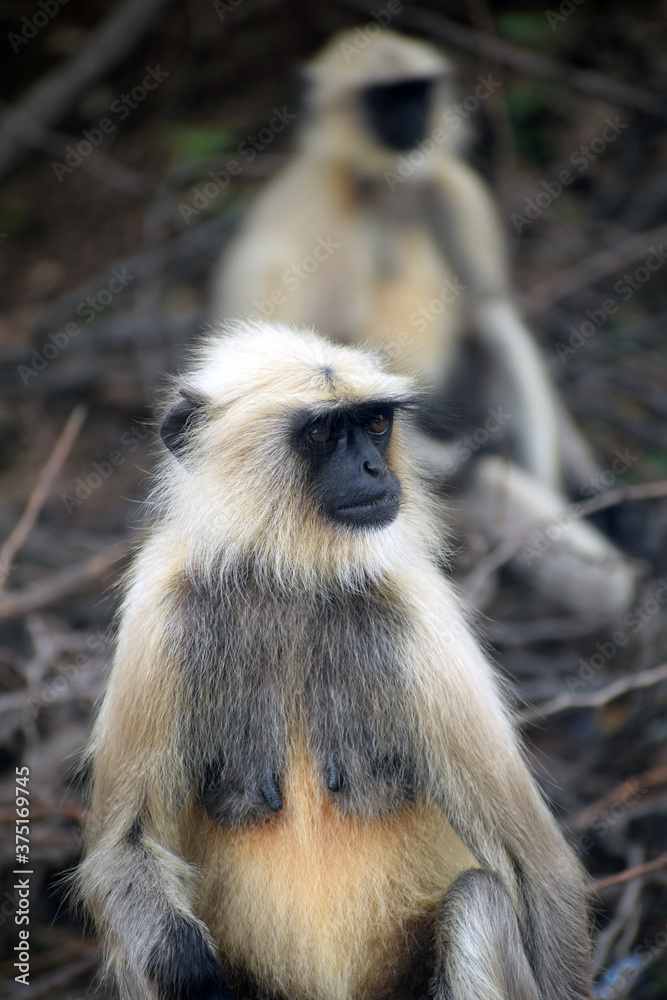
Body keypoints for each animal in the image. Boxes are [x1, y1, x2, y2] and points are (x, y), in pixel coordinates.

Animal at [78, 319, 593, 1000]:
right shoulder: (161, 611)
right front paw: (191, 967)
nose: (374, 467)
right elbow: (120, 851)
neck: (292, 577)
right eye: (323, 433)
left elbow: (538, 869)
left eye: (375, 423)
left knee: (478, 900)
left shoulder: (417, 611)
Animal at [210, 28, 635, 620]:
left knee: (490, 320)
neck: (381, 187)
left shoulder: (451, 188)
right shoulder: (323, 214)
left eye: (416, 91)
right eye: (384, 98)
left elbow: (489, 301)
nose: (410, 116)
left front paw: (596, 492)